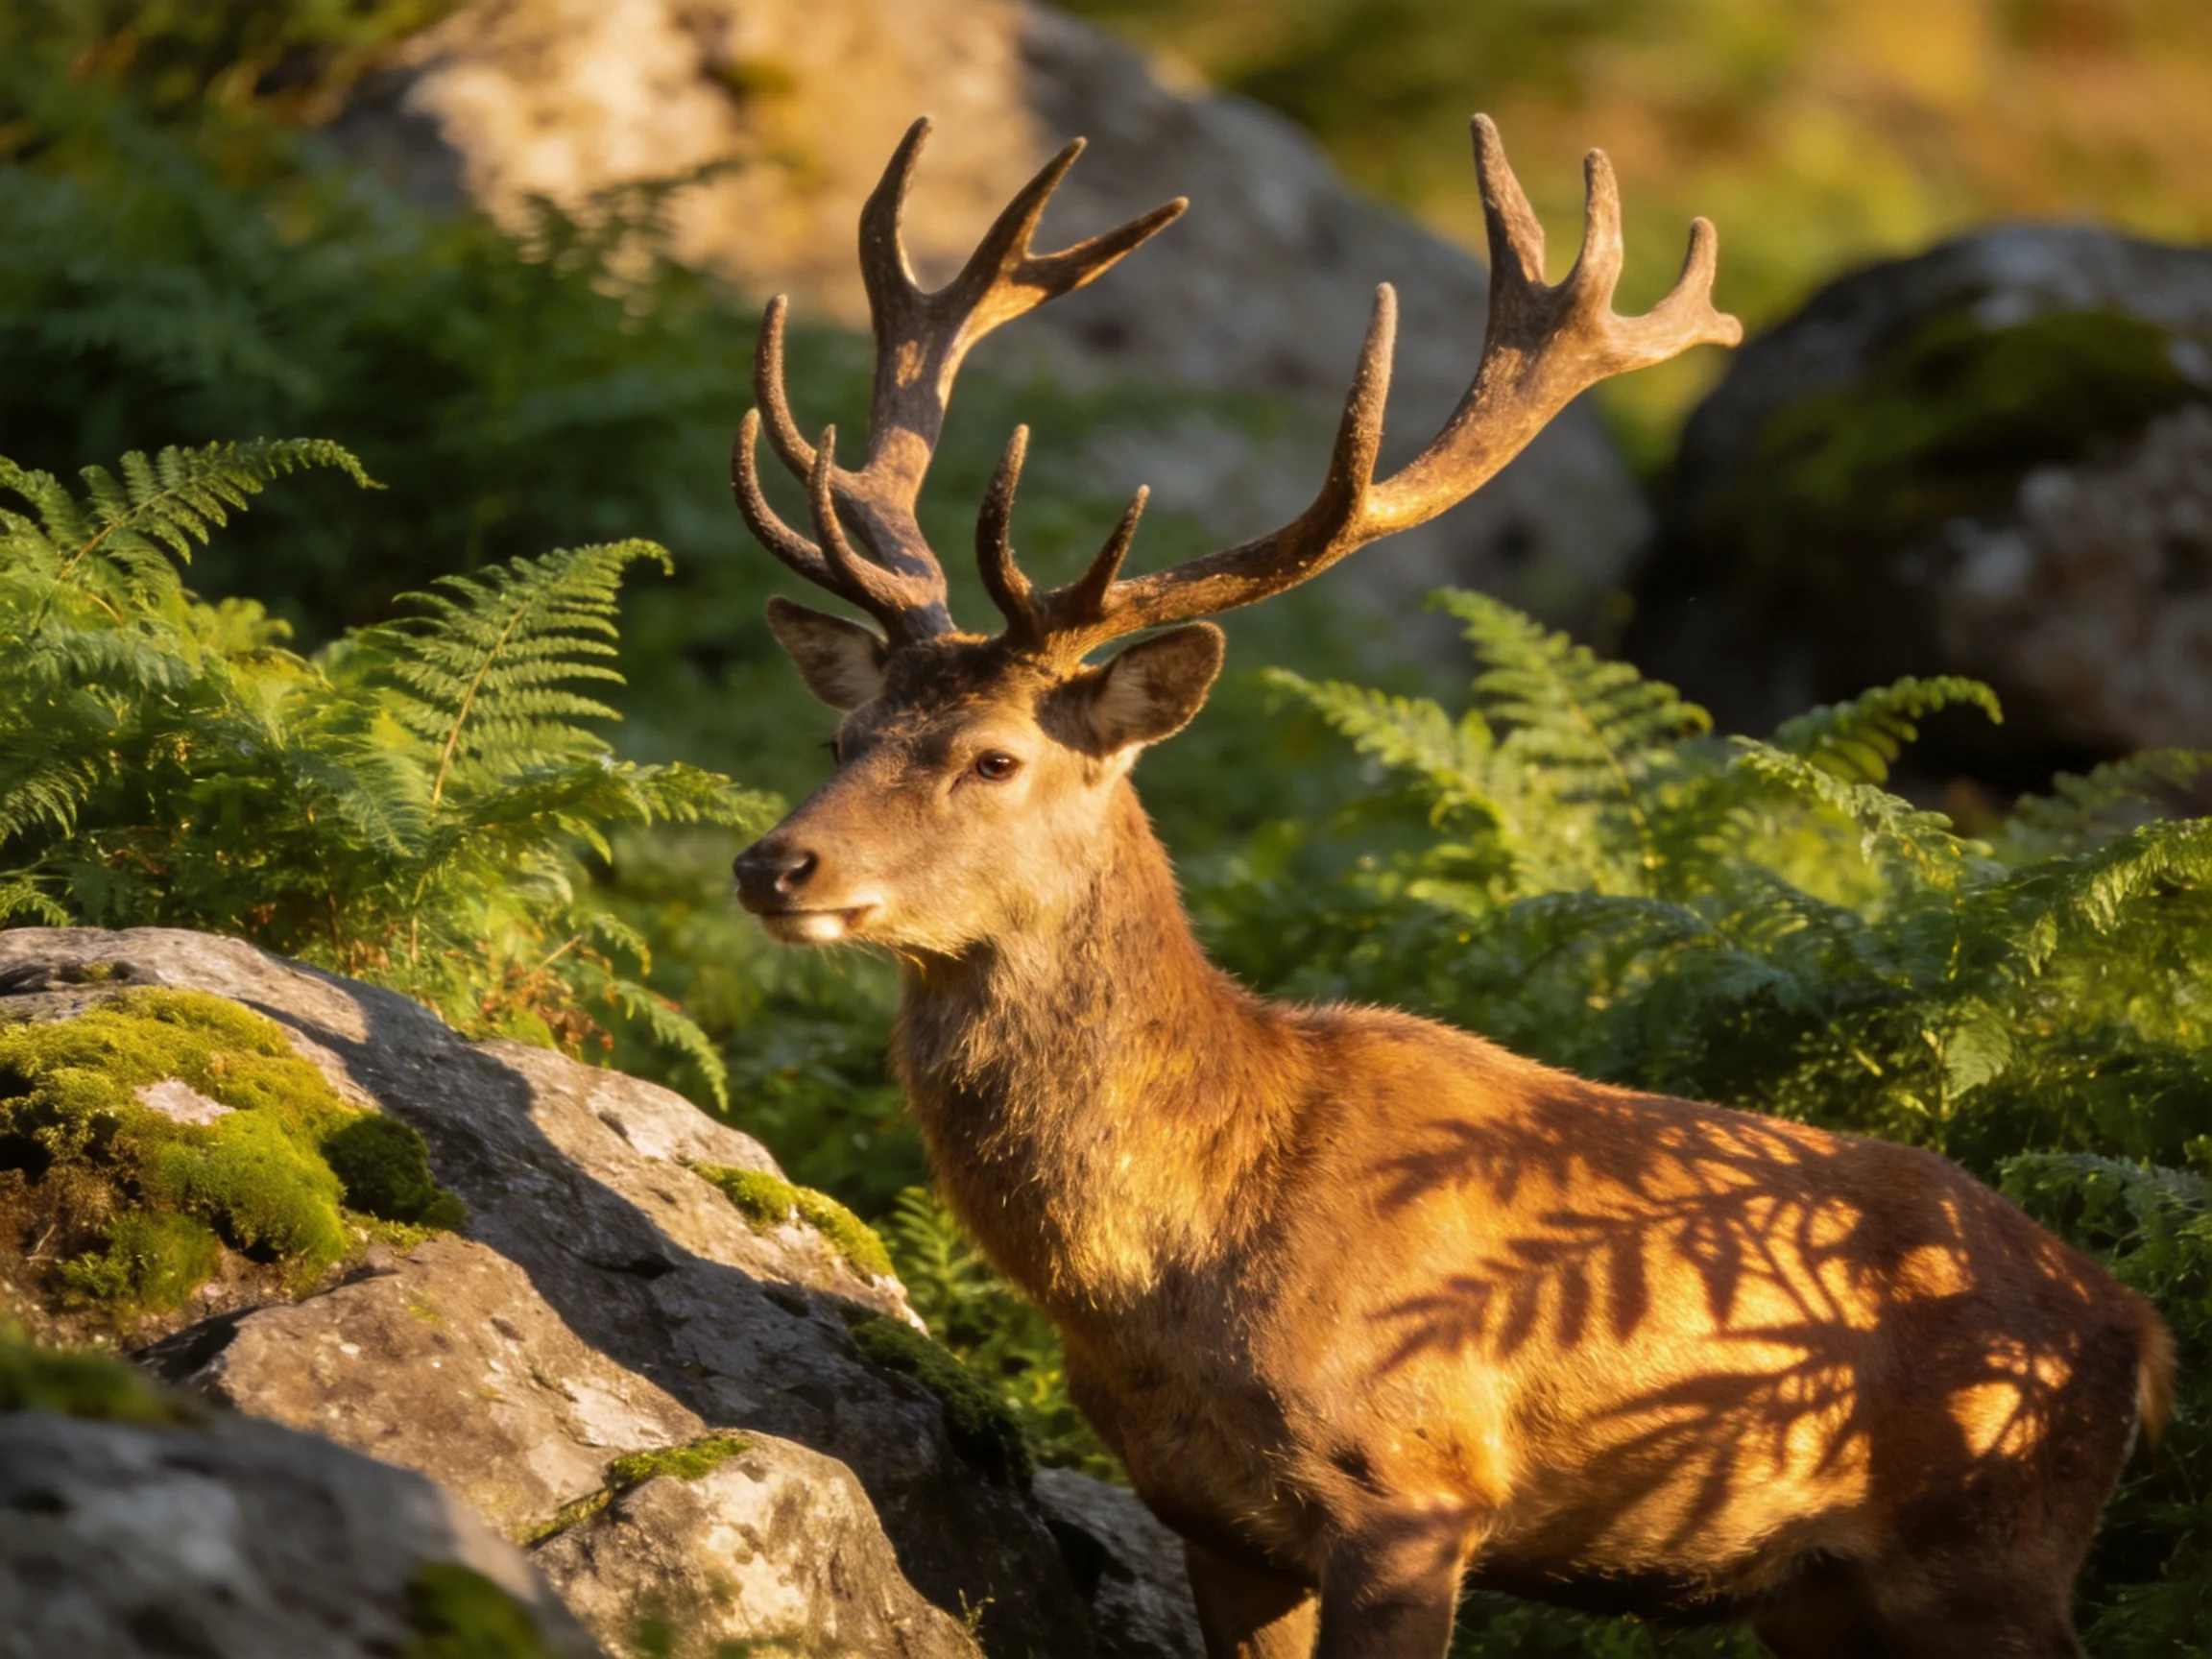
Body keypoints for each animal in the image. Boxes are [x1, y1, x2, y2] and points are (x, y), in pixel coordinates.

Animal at [727, 116, 2173, 1659]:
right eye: (842, 738)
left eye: (994, 758)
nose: (775, 861)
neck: (1179, 1260)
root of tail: (2136, 1331)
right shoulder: (1209, 1518)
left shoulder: (1417, 1484)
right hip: (1827, 1598)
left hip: (1994, 1553)